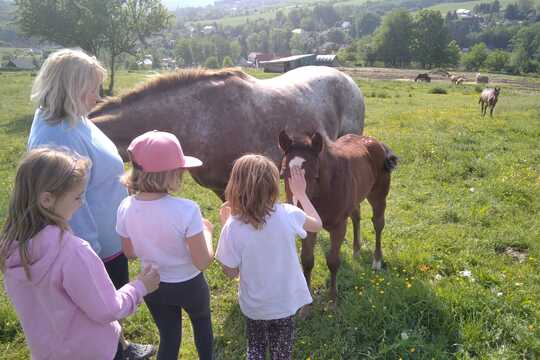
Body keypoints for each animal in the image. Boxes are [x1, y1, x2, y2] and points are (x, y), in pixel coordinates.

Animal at [278, 131, 396, 314]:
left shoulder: (338, 226)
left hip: (378, 195)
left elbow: (333, 261)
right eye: (283, 174)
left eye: (315, 175)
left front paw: (332, 301)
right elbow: (307, 260)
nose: (298, 211)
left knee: (378, 223)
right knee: (356, 216)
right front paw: (306, 307)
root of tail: (376, 142)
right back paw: (356, 251)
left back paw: (376, 261)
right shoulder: (309, 227)